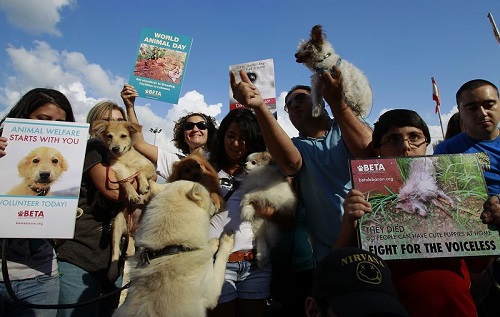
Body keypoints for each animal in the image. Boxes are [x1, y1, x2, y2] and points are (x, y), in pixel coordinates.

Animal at [91, 119, 166, 280]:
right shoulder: (117, 176)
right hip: (117, 225)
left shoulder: (149, 168)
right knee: (116, 251)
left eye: (123, 136)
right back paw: (113, 271)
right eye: (109, 136)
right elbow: (126, 182)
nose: (115, 149)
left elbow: (141, 173)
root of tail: (132, 229)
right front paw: (132, 194)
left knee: (132, 241)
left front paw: (143, 185)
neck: (125, 159)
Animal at [114, 180, 235, 316]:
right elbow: (220, 261)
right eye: (209, 196)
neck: (172, 248)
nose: (216, 204)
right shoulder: (211, 292)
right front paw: (223, 241)